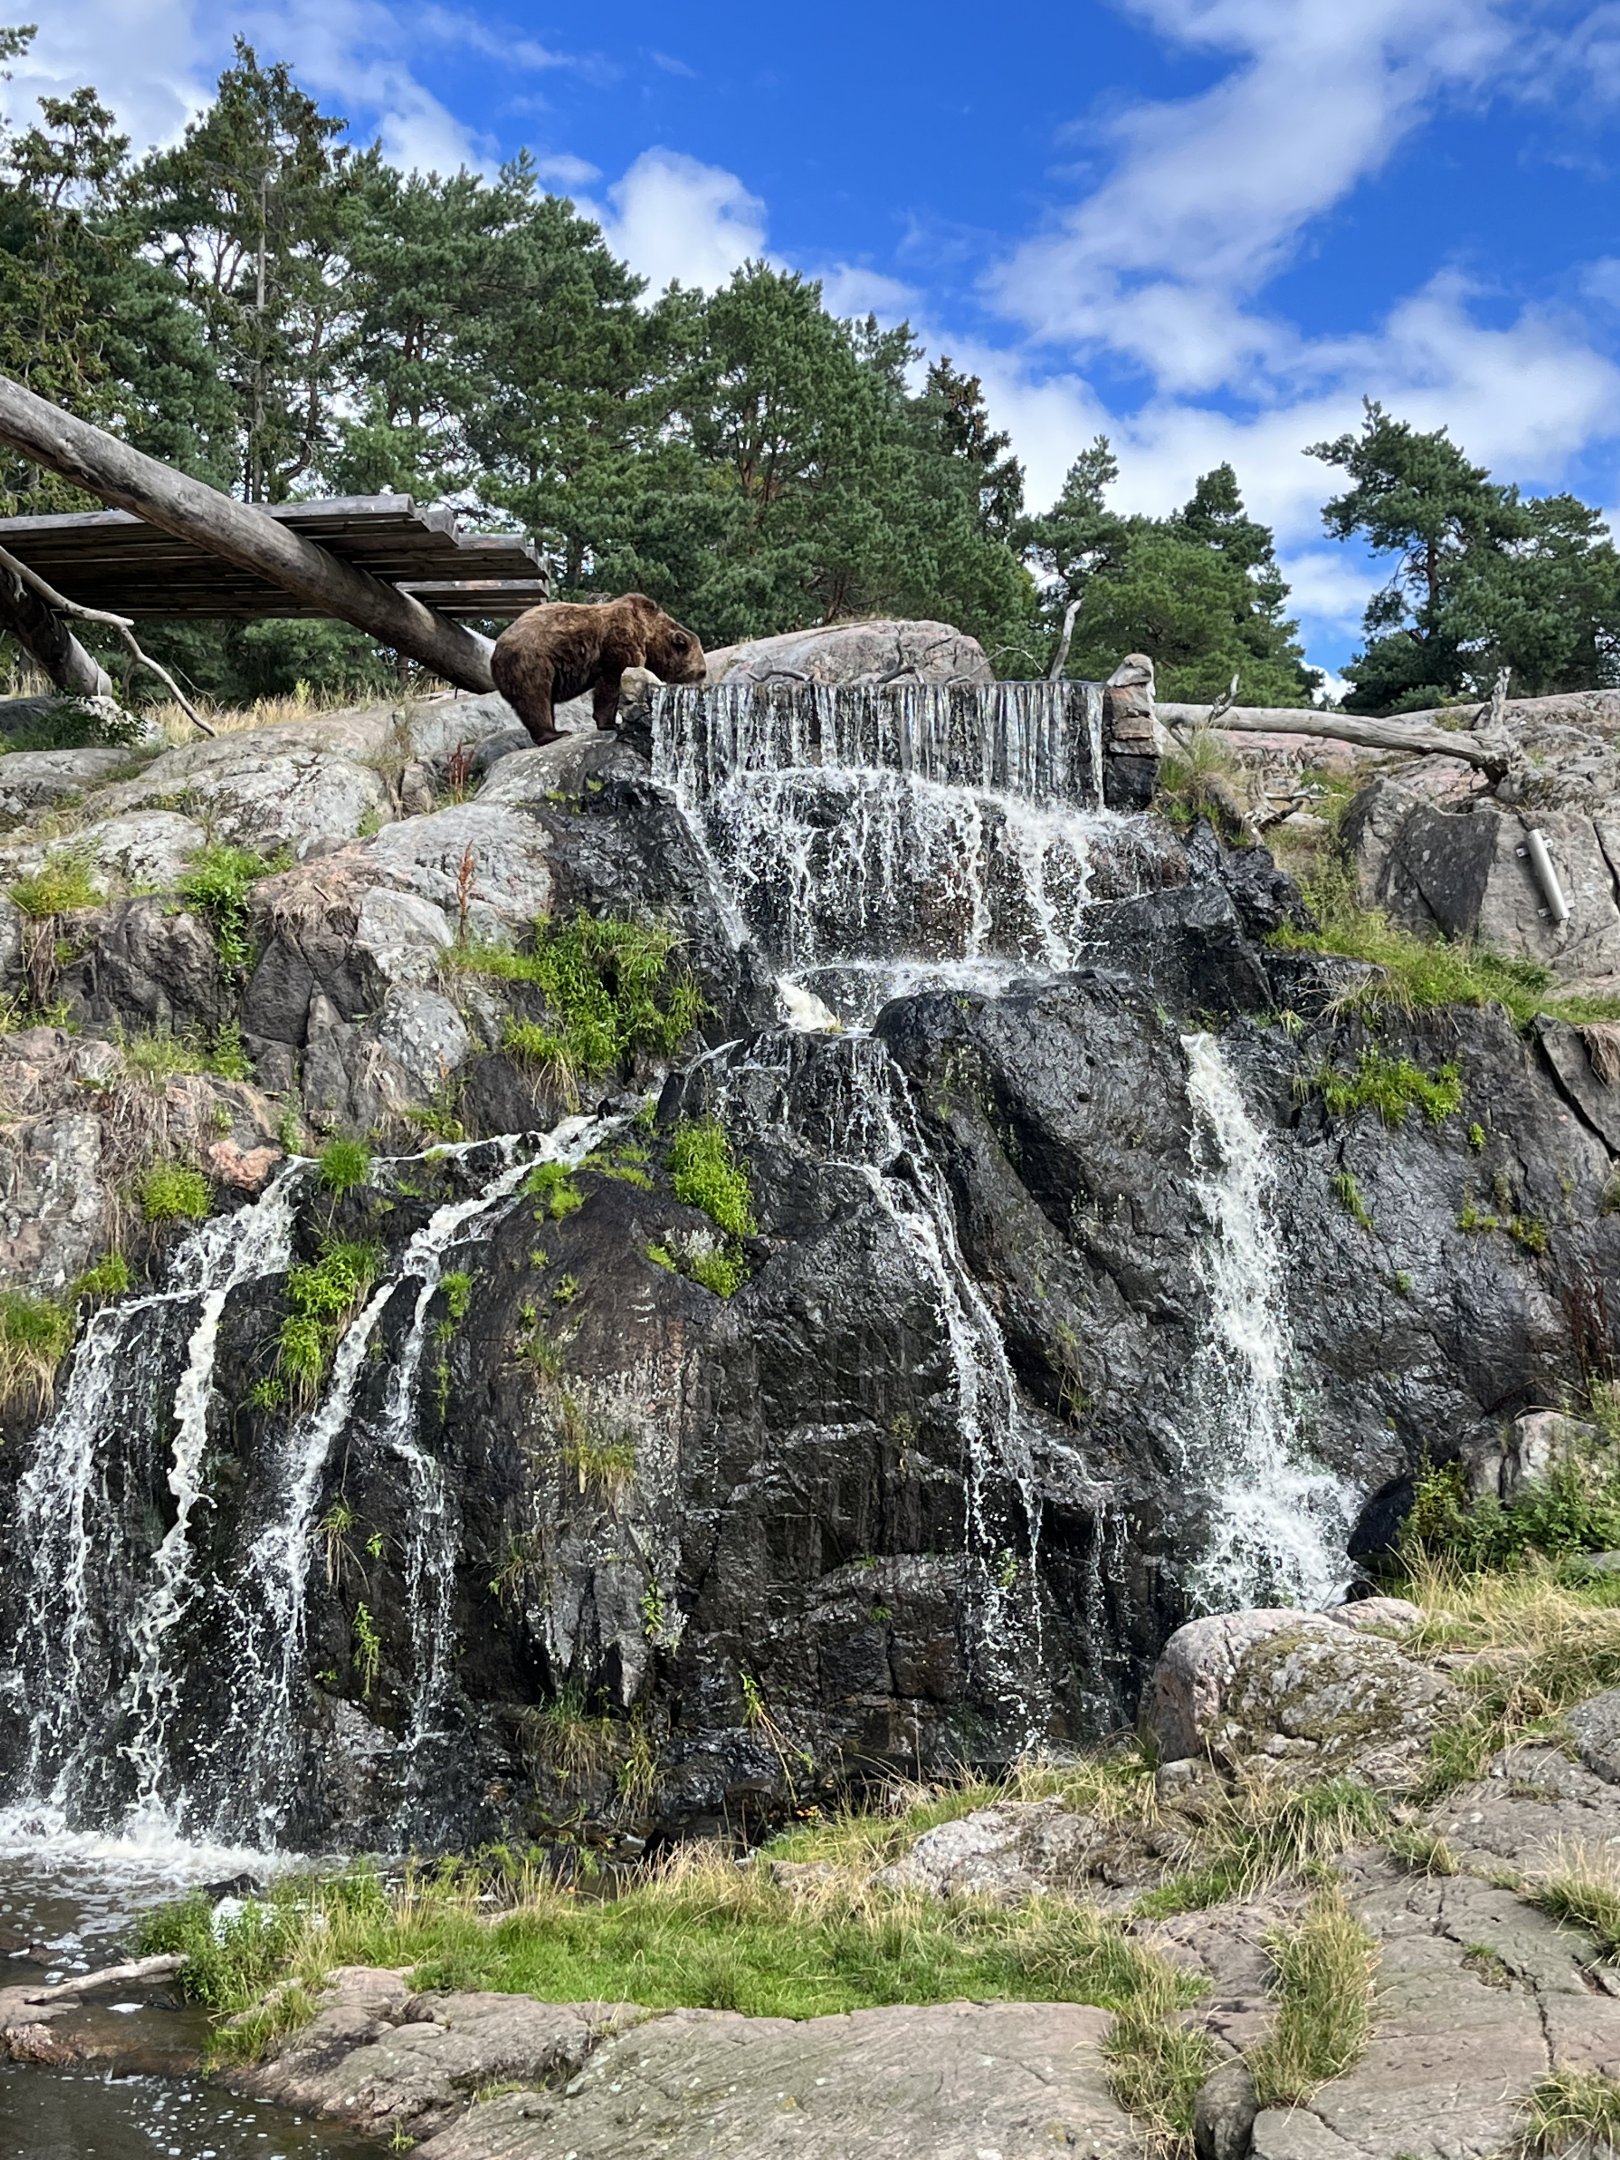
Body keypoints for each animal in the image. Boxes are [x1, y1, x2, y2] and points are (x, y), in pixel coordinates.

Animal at [490, 593, 707, 747]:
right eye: (702, 672)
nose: (701, 684)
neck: (651, 639)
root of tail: (497, 648)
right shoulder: (619, 643)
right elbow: (610, 683)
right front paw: (610, 723)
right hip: (532, 659)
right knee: (536, 698)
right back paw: (556, 733)